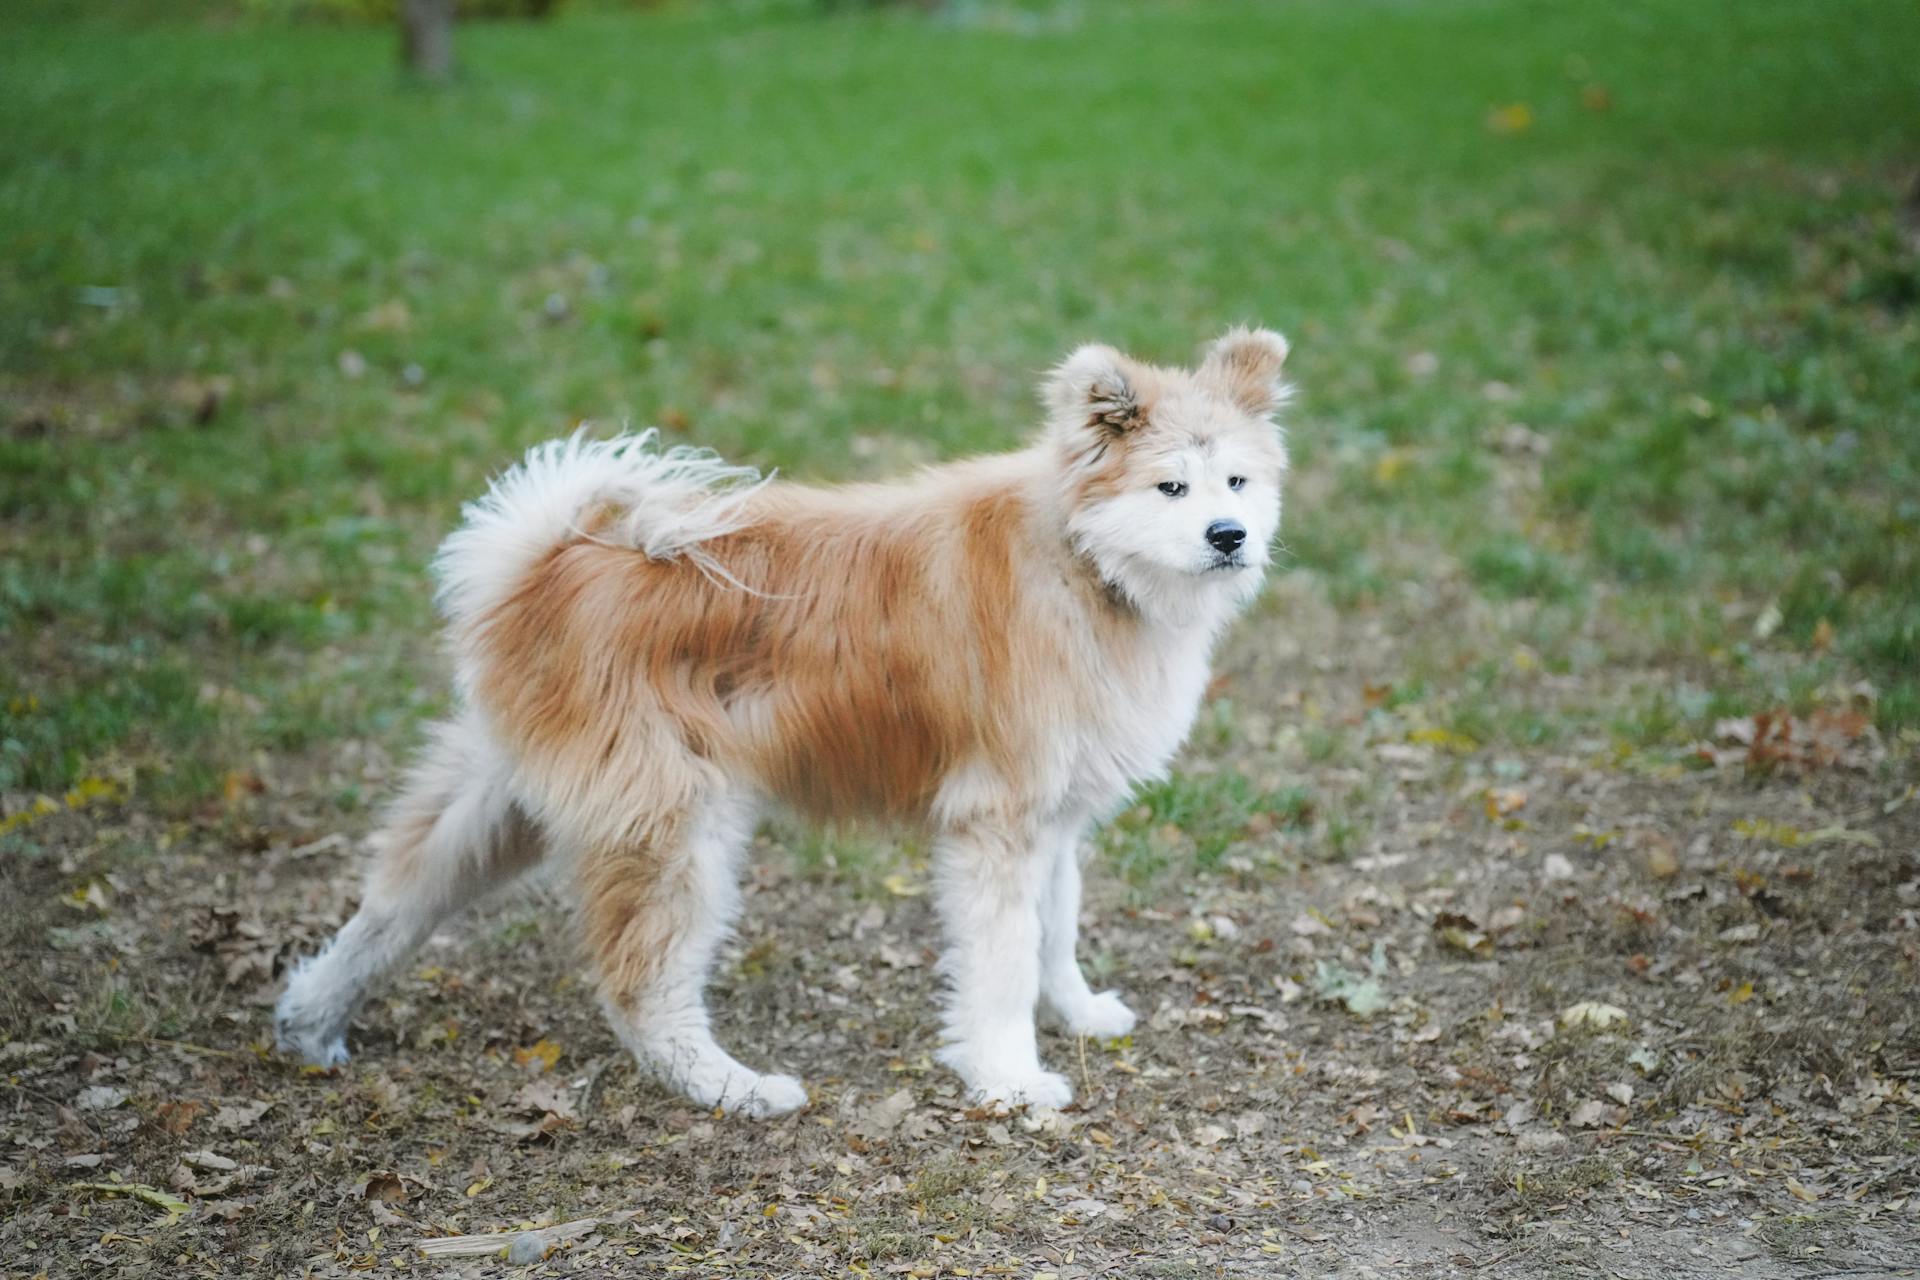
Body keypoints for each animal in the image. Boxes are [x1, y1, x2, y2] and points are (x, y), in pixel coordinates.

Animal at [274, 326, 1290, 1113]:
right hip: (677, 827)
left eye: (1237, 483)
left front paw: (1076, 1015)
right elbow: (1003, 960)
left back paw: (309, 1022)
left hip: (506, 802)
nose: (1229, 537)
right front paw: (1009, 1078)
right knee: (641, 989)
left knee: (393, 904)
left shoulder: (1055, 819)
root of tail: (549, 562)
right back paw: (735, 1089)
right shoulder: (998, 820)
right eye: (1171, 488)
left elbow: (1056, 930)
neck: (1084, 563)